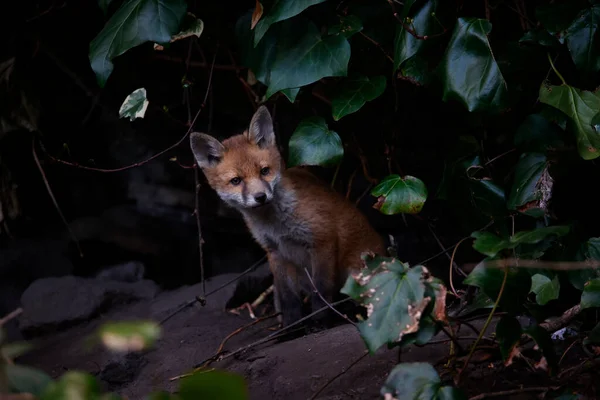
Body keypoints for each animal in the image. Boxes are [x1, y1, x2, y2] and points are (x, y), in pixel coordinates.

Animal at [192, 105, 390, 328]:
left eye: (264, 171)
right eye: (236, 181)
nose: (260, 197)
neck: (276, 225)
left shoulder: (322, 240)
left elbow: (321, 289)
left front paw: (320, 321)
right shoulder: (275, 252)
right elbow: (289, 297)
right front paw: (291, 326)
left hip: (357, 273)